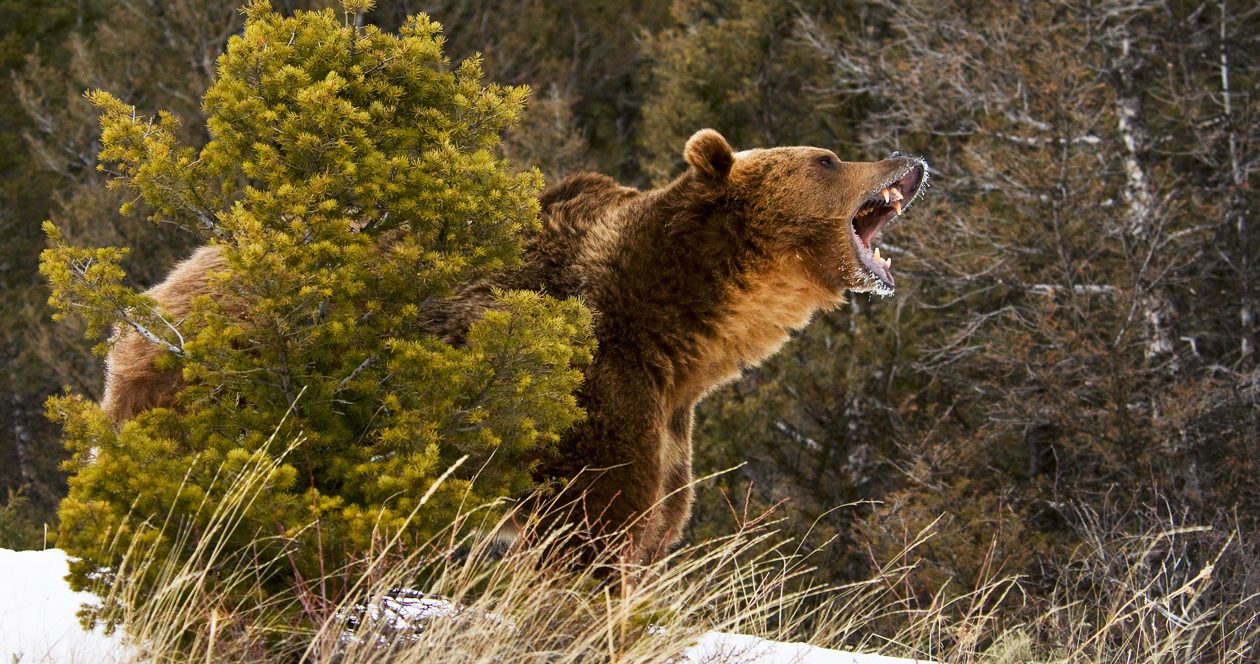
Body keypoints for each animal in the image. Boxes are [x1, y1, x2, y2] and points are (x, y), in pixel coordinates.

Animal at [101, 128, 928, 563]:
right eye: (826, 158)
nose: (912, 160)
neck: (676, 331)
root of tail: (150, 301)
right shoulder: (586, 400)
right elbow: (593, 538)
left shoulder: (669, 425)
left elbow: (655, 525)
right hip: (233, 408)